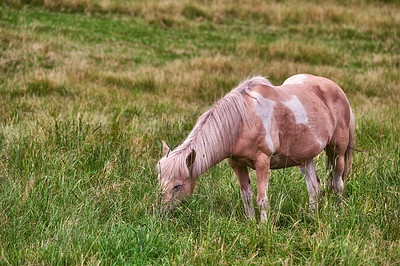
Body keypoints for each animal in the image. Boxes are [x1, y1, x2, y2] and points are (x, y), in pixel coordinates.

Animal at [156, 74, 354, 221]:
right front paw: (251, 223)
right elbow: (246, 196)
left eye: (178, 186)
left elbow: (262, 200)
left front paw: (263, 228)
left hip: (338, 151)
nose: (160, 213)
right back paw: (312, 218)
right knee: (314, 187)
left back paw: (339, 213)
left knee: (338, 183)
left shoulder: (262, 162)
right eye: (159, 181)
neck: (243, 121)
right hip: (304, 158)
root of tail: (336, 89)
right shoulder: (237, 164)